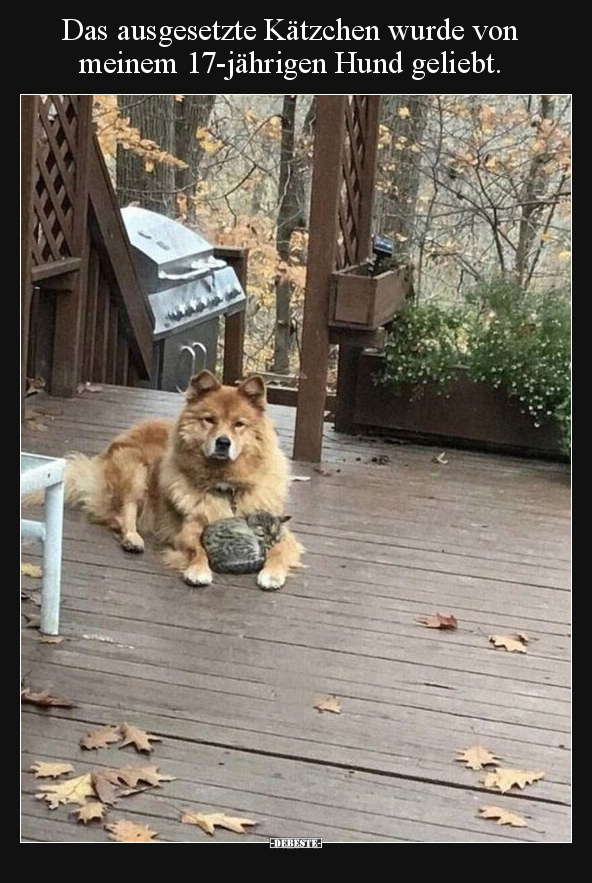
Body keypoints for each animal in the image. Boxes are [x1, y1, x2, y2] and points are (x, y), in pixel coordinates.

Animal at [58, 370, 302, 592]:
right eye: (209, 420)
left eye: (239, 424)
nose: (223, 442)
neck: (226, 485)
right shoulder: (189, 528)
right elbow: (197, 549)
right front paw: (198, 570)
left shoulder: (281, 530)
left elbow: (279, 550)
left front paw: (272, 574)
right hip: (135, 472)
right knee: (123, 512)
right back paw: (133, 539)